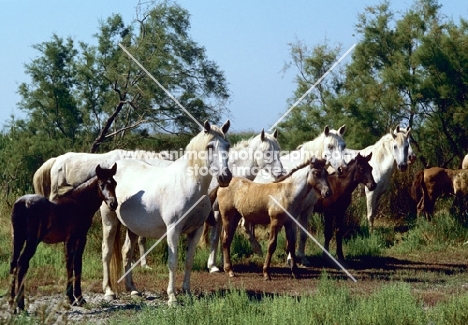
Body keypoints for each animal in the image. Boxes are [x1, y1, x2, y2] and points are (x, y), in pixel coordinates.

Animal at [9, 163, 117, 310]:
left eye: (115, 183)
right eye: (102, 184)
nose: (113, 204)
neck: (79, 202)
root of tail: (21, 203)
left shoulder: (68, 240)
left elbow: (71, 264)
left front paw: (74, 297)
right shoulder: (78, 238)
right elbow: (75, 264)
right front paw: (76, 298)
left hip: (18, 239)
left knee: (14, 263)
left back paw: (12, 303)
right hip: (31, 241)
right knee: (22, 263)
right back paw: (20, 305)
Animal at [103, 119, 234, 304]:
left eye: (227, 146)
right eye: (209, 146)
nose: (225, 177)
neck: (188, 183)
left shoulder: (196, 230)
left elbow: (188, 261)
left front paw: (187, 292)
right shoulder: (173, 229)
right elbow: (173, 262)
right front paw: (172, 297)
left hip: (133, 228)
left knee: (126, 252)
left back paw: (133, 290)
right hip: (109, 220)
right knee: (106, 252)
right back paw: (108, 291)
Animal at [206, 128, 286, 272]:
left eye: (278, 150)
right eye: (267, 152)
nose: (280, 174)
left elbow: (225, 235)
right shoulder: (219, 212)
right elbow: (219, 236)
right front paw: (213, 266)